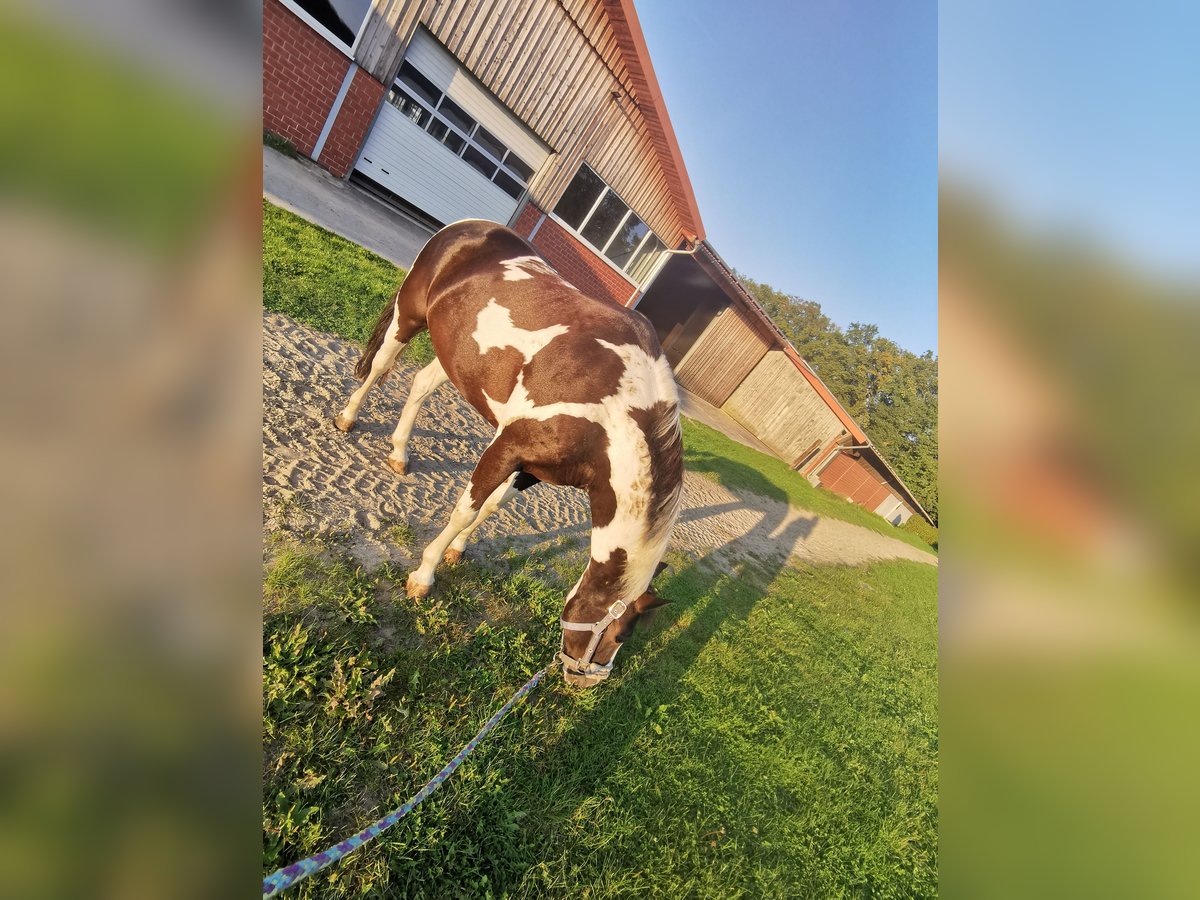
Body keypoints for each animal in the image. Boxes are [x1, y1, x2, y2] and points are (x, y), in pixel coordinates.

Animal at [333, 222, 686, 686]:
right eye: (619, 633)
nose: (584, 680)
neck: (612, 410)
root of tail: (466, 229)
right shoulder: (507, 446)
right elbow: (465, 509)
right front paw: (424, 575)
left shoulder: (531, 468)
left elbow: (490, 507)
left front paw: (458, 549)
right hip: (408, 317)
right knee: (378, 368)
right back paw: (347, 417)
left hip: (456, 354)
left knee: (420, 385)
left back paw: (399, 451)